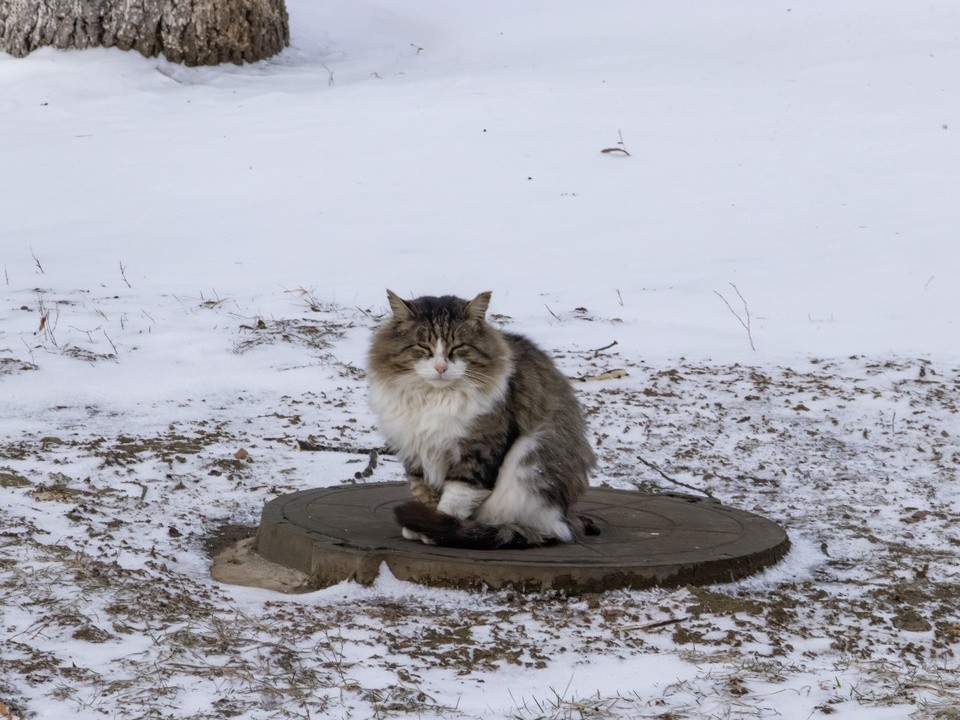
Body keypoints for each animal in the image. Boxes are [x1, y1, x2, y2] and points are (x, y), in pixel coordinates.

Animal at [370, 290, 600, 548]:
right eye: (423, 346)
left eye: (458, 347)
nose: (441, 367)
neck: (435, 399)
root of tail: (567, 519)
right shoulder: (416, 453)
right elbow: (423, 492)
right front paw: (418, 528)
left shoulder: (479, 452)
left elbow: (454, 499)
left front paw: (435, 529)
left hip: (529, 461)